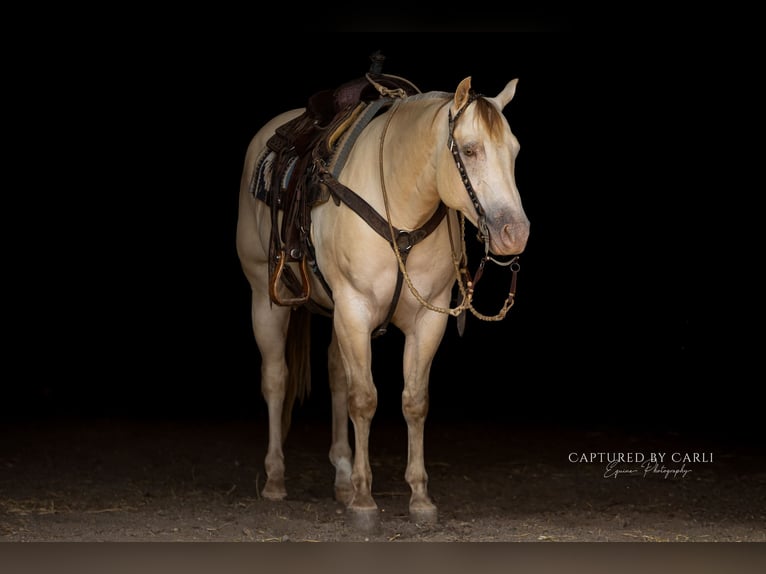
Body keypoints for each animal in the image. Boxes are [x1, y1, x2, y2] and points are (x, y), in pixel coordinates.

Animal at [236, 70, 530, 531]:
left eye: (514, 150)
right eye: (469, 149)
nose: (514, 234)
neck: (402, 208)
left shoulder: (428, 319)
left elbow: (414, 401)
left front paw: (419, 497)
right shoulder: (355, 310)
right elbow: (365, 399)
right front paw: (363, 501)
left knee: (336, 375)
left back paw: (340, 477)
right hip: (266, 300)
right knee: (276, 379)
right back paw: (276, 479)